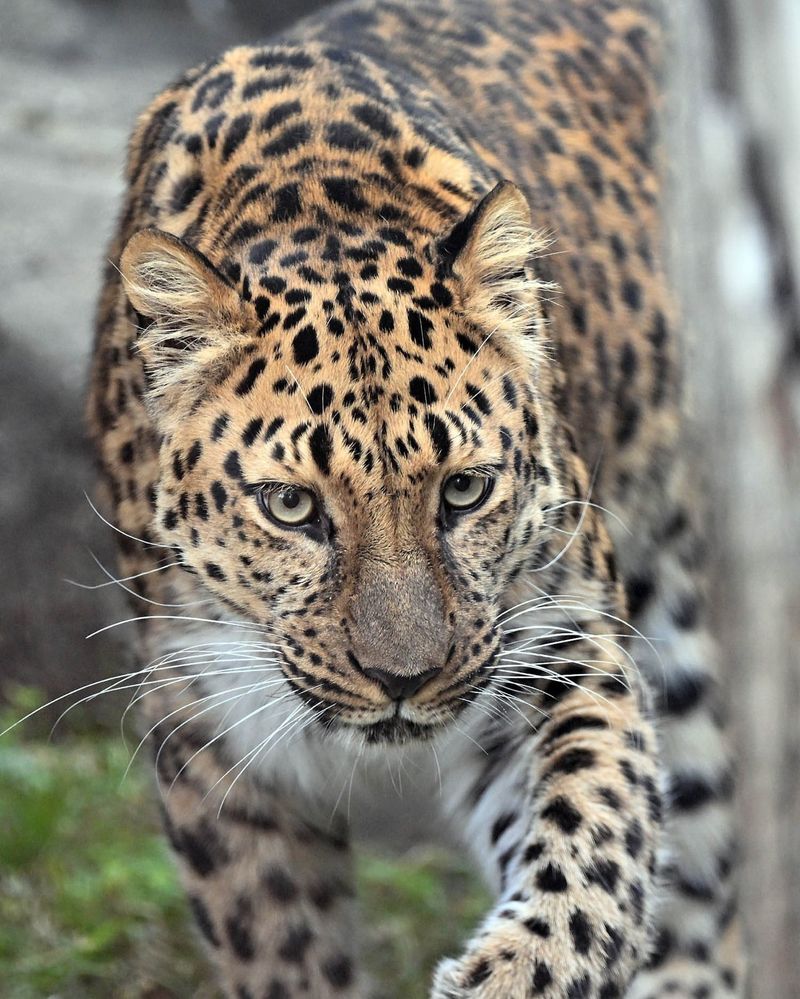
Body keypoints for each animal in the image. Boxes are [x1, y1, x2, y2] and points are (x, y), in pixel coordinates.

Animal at [86, 0, 744, 996]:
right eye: (290, 507)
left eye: (464, 491)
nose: (403, 681)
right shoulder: (207, 734)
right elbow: (282, 950)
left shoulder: (556, 647)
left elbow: (594, 837)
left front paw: (516, 971)